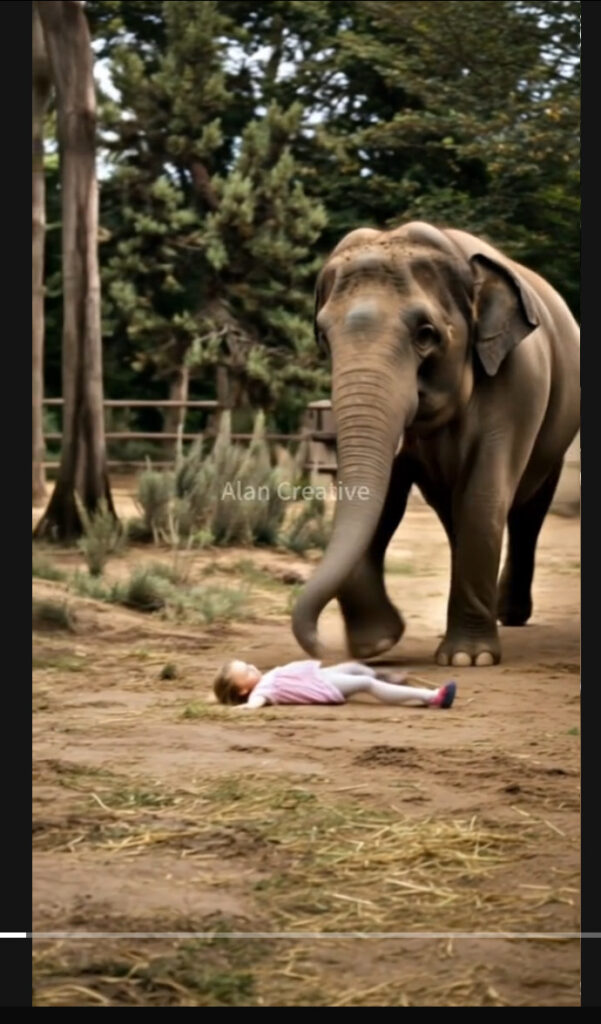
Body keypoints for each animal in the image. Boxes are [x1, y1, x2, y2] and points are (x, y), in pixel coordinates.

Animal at [291, 221, 580, 667]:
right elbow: (386, 500)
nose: (323, 650)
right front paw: (375, 645)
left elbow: (483, 494)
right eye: (323, 336)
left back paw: (509, 616)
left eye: (426, 334)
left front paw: (467, 659)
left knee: (528, 511)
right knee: (452, 512)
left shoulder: (519, 381)